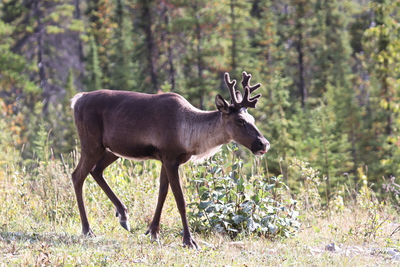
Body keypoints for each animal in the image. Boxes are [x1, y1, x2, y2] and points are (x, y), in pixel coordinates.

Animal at [70, 71, 270, 249]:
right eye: (240, 121)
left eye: (252, 118)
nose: (264, 144)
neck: (190, 135)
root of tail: (77, 99)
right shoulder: (170, 158)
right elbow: (180, 201)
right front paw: (189, 241)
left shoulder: (165, 160)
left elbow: (162, 194)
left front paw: (153, 232)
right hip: (91, 144)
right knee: (77, 175)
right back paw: (87, 230)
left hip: (112, 150)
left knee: (96, 171)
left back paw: (123, 216)